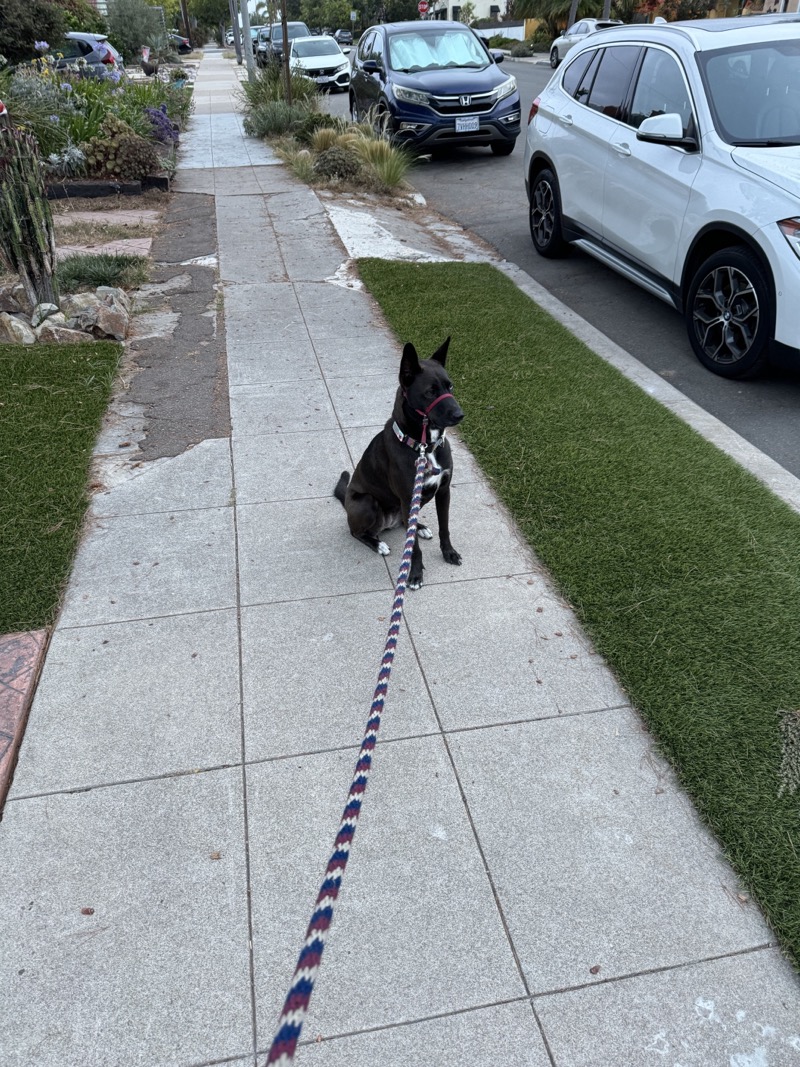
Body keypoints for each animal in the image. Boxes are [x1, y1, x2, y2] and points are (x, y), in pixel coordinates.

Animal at [334, 337, 467, 593]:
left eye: (451, 386)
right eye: (430, 392)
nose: (459, 414)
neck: (424, 446)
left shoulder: (443, 491)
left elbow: (444, 527)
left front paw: (449, 553)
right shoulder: (407, 498)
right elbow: (413, 549)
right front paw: (414, 575)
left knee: (407, 525)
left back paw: (420, 527)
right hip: (367, 502)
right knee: (357, 531)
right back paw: (377, 544)